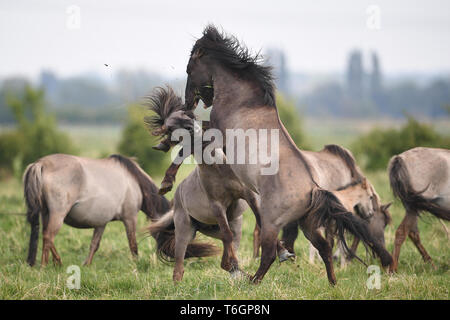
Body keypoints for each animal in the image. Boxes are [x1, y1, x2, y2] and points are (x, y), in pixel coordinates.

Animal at [23, 154, 171, 266]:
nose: (174, 257)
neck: (134, 182)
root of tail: (40, 164)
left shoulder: (101, 223)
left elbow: (94, 244)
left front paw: (87, 264)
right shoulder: (130, 218)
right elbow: (133, 244)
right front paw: (136, 264)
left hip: (46, 213)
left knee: (46, 236)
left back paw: (56, 262)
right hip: (57, 215)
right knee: (48, 236)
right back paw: (46, 265)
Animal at [146, 86, 290, 282]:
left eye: (190, 116)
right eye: (170, 127)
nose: (193, 130)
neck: (220, 170)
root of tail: (178, 196)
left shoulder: (249, 196)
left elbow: (261, 223)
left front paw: (283, 252)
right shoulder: (217, 206)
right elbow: (228, 235)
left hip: (227, 227)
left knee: (225, 253)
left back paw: (241, 273)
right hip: (185, 230)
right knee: (180, 264)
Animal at [182, 25, 390, 284]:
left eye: (189, 68)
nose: (188, 102)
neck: (243, 99)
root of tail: (314, 190)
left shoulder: (218, 130)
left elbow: (201, 126)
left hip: (273, 222)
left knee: (270, 252)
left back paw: (252, 282)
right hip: (307, 225)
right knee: (324, 247)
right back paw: (332, 283)